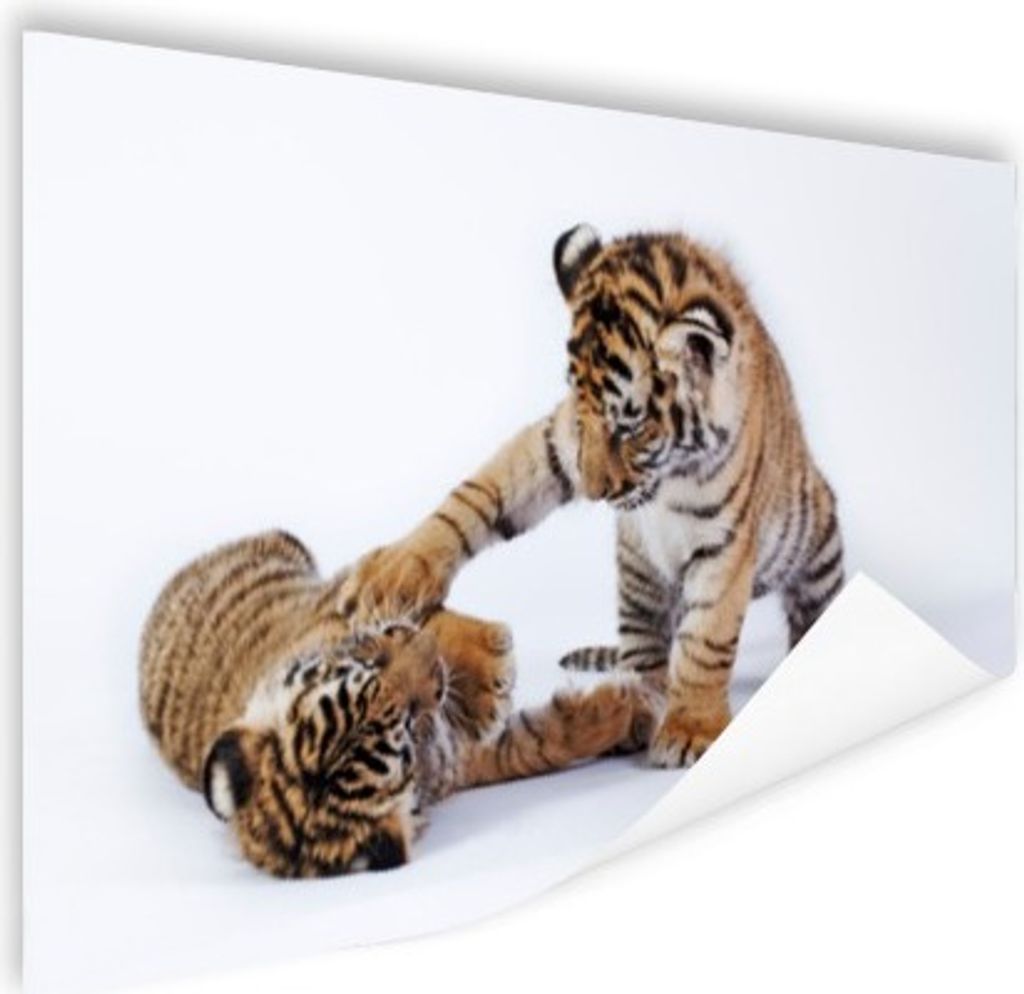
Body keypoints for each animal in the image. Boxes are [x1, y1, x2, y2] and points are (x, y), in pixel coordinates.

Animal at [140, 530, 652, 878]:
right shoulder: (461, 760)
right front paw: (628, 710)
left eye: (367, 664)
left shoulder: (346, 611)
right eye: (409, 723)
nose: (426, 653)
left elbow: (403, 611)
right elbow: (541, 742)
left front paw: (483, 655)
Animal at [340, 224, 844, 768]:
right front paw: (395, 573)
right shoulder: (556, 443)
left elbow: (706, 639)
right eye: (581, 409)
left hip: (818, 546)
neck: (667, 475)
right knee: (645, 648)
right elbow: (479, 493)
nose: (594, 491)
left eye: (632, 425)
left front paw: (691, 728)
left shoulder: (724, 541)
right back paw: (637, 704)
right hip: (637, 578)